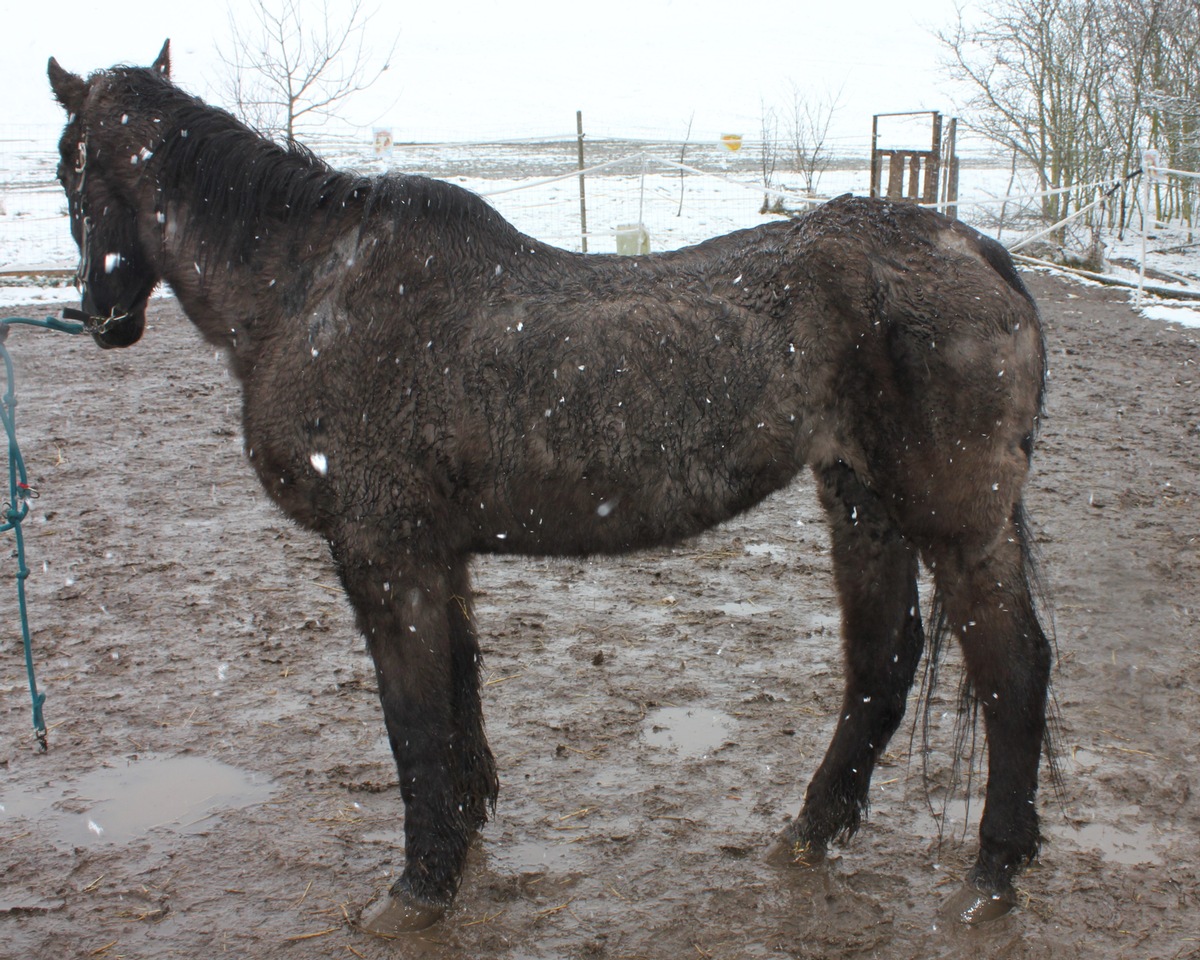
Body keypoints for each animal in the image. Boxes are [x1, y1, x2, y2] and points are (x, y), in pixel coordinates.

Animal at [51, 41, 1056, 936]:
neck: (312, 287)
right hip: (861, 502)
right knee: (884, 660)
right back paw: (811, 832)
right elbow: (457, 690)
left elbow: (412, 716)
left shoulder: (384, 552)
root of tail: (968, 244)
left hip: (955, 517)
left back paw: (991, 877)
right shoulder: (437, 555)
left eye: (70, 170)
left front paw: (419, 887)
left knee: (1012, 667)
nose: (101, 318)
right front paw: (464, 838)